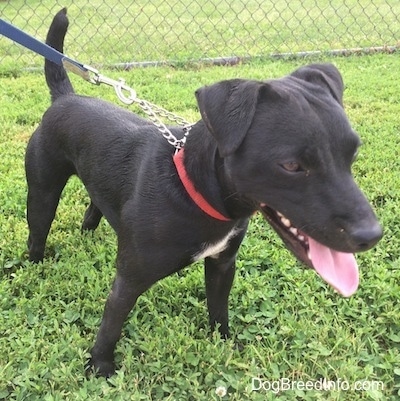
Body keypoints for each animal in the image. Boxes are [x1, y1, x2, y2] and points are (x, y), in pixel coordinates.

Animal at [25, 8, 382, 376]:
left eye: (353, 151)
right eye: (291, 165)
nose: (371, 235)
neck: (194, 189)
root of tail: (66, 97)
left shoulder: (223, 264)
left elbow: (218, 308)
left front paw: (222, 342)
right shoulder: (129, 279)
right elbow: (112, 323)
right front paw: (100, 367)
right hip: (42, 192)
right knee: (37, 232)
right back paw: (36, 266)